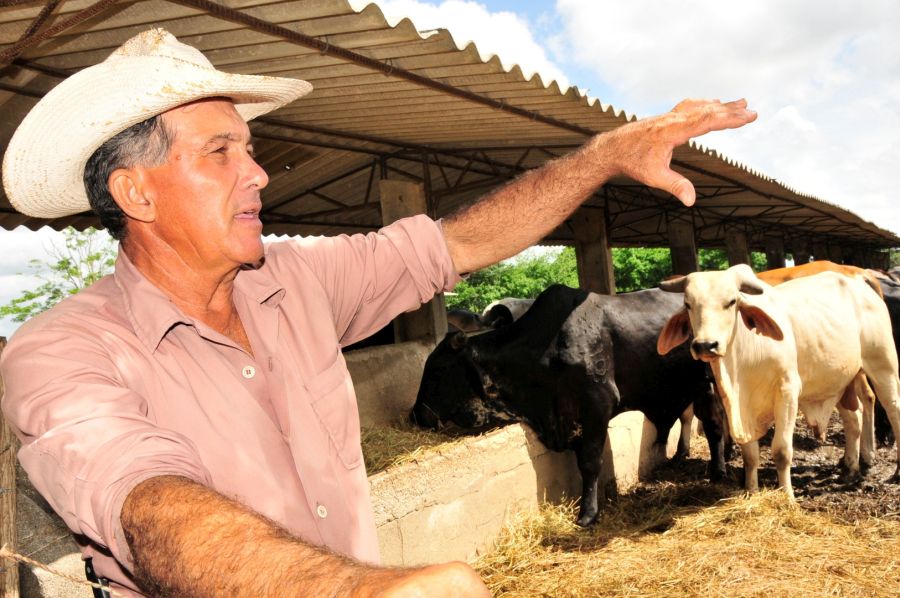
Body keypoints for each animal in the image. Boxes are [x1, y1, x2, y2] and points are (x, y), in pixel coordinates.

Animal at [414, 284, 724, 524]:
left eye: (437, 370)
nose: (415, 415)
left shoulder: (598, 403)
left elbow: (589, 462)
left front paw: (588, 514)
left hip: (709, 384)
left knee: (714, 426)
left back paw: (718, 472)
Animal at [652, 266, 900, 496]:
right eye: (688, 304)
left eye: (731, 302)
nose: (705, 345)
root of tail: (859, 280)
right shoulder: (737, 405)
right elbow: (750, 456)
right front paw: (751, 491)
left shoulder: (787, 393)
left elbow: (781, 451)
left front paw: (787, 496)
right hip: (839, 379)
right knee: (854, 418)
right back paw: (850, 468)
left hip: (882, 366)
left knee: (892, 409)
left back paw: (893, 471)